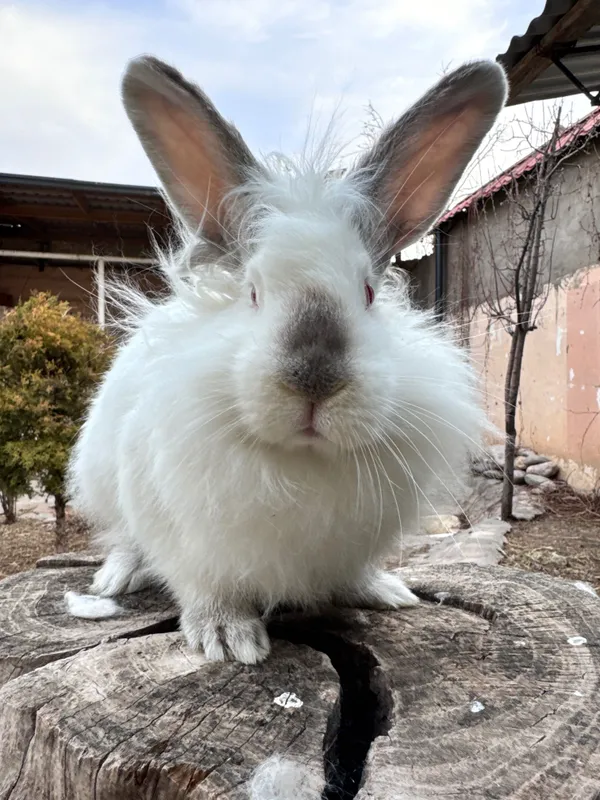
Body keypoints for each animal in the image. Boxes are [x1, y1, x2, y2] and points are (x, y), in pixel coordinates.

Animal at [68, 55, 507, 669]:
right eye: (253, 292)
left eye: (368, 293)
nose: (314, 382)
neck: (302, 461)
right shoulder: (183, 539)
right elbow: (203, 585)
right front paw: (228, 637)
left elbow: (353, 572)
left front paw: (383, 590)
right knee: (125, 541)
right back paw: (116, 578)